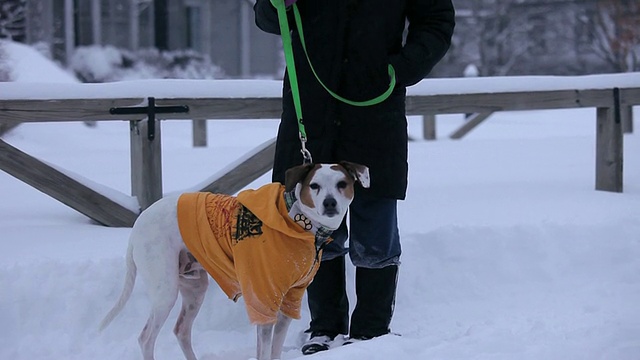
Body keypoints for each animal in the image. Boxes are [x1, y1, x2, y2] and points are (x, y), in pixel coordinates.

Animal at [99, 162, 370, 358]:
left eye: (342, 184)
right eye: (314, 185)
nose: (329, 203)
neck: (298, 223)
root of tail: (137, 227)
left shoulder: (289, 301)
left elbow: (274, 350)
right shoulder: (263, 300)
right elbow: (264, 350)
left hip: (195, 287)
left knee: (181, 331)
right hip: (165, 289)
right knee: (146, 338)